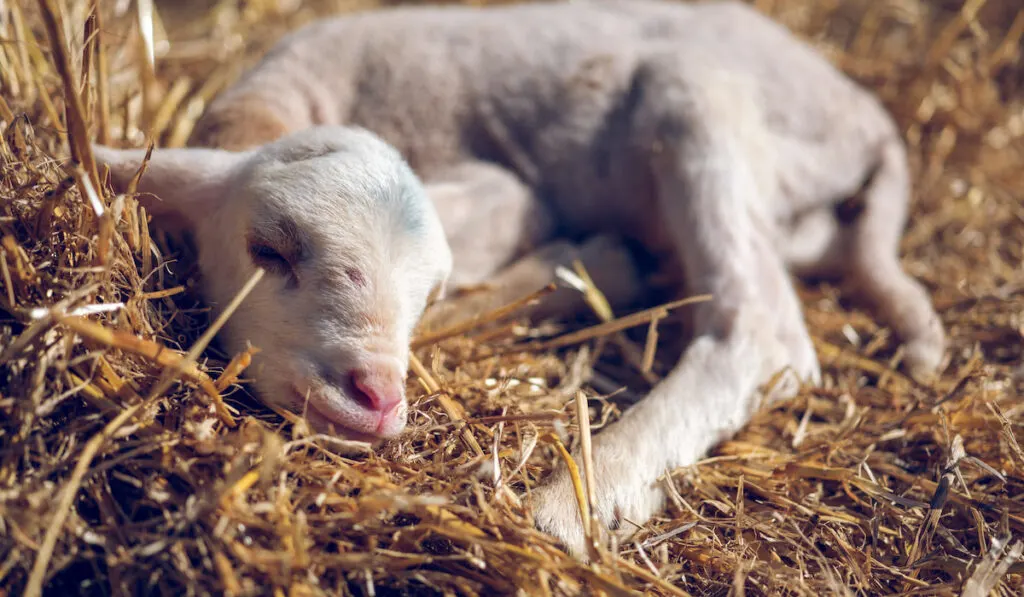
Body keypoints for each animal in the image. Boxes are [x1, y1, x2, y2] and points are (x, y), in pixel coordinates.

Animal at [92, 0, 946, 561]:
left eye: (426, 294)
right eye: (267, 248)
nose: (376, 394)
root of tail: (865, 112)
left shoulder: (508, 192)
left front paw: (592, 265)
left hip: (700, 99)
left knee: (761, 329)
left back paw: (574, 501)